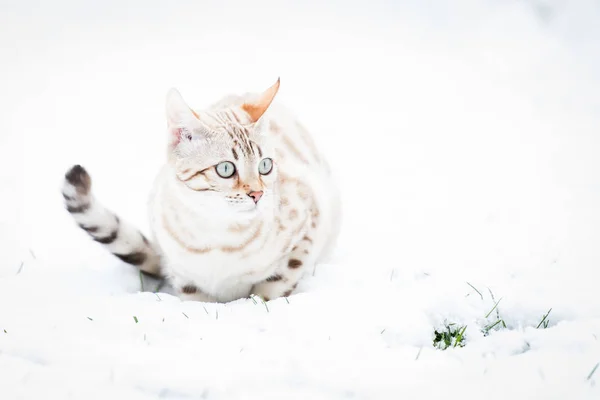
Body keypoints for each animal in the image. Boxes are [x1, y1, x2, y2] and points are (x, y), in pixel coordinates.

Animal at [63, 79, 342, 304]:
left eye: (265, 165)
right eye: (226, 169)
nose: (258, 194)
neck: (217, 236)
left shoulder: (309, 222)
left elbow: (273, 288)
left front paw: (258, 305)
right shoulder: (183, 275)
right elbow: (197, 303)